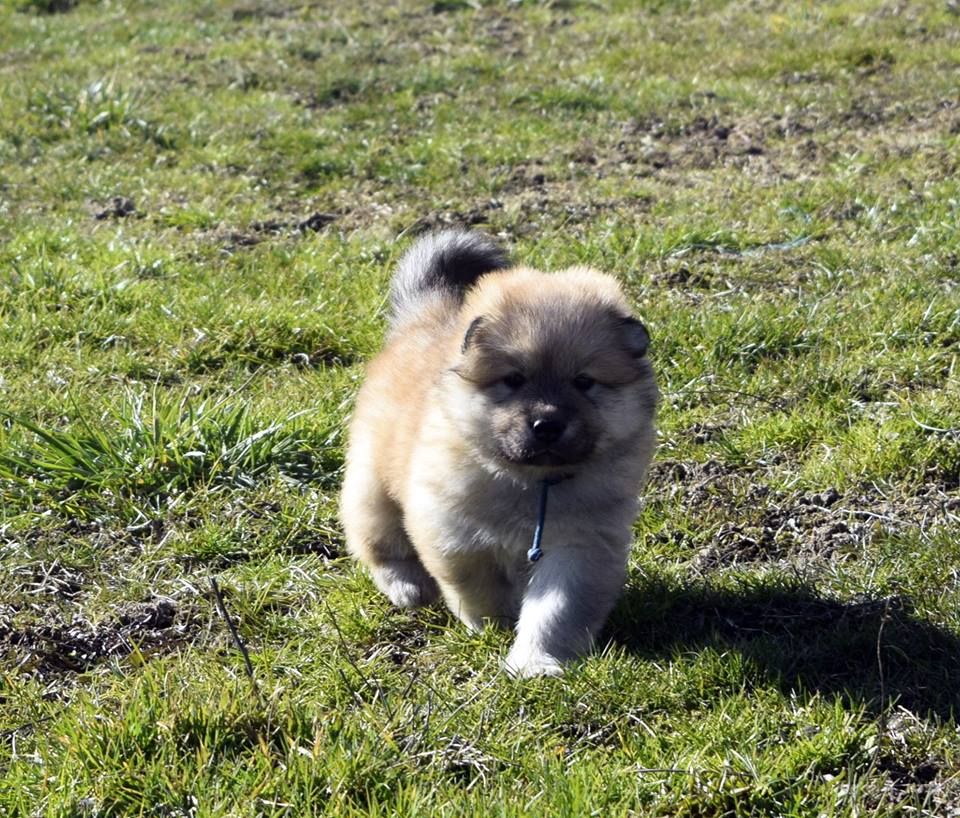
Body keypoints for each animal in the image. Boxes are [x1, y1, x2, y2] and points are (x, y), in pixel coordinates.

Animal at [340, 231, 660, 676]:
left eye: (583, 382)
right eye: (514, 379)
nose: (547, 425)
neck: (532, 485)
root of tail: (424, 317)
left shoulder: (581, 546)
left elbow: (556, 611)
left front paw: (535, 662)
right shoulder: (455, 534)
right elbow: (480, 589)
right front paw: (494, 623)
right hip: (371, 482)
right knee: (379, 543)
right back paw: (409, 587)